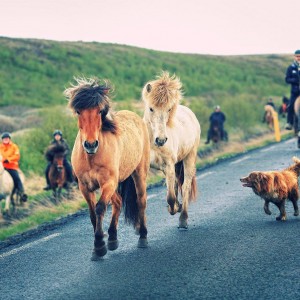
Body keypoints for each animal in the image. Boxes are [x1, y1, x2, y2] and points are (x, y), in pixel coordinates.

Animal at [64, 77, 151, 260]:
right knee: (117, 202)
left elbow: (99, 208)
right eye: (78, 111)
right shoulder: (85, 187)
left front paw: (99, 245)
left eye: (99, 111)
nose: (90, 144)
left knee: (140, 201)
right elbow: (92, 214)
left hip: (139, 174)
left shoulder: (108, 183)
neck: (92, 157)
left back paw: (142, 237)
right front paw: (98, 247)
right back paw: (112, 238)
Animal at [142, 71, 200, 229]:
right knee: (175, 184)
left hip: (189, 158)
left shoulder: (169, 165)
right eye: (151, 108)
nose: (161, 140)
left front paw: (174, 208)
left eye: (168, 109)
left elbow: (170, 197)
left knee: (185, 186)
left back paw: (183, 218)